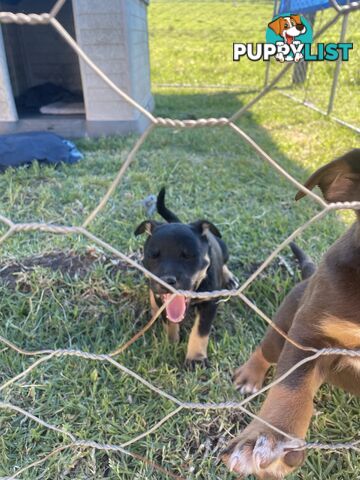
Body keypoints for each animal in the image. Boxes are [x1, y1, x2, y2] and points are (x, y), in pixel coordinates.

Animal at [134, 188, 236, 368]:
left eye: (188, 256)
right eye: (153, 256)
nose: (167, 280)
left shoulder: (210, 304)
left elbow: (200, 331)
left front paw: (196, 359)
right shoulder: (164, 301)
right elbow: (169, 321)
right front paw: (171, 342)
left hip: (224, 248)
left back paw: (229, 278)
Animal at [222, 148, 360, 478]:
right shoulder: (310, 335)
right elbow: (292, 386)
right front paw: (271, 438)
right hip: (284, 325)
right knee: (266, 350)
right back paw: (249, 376)